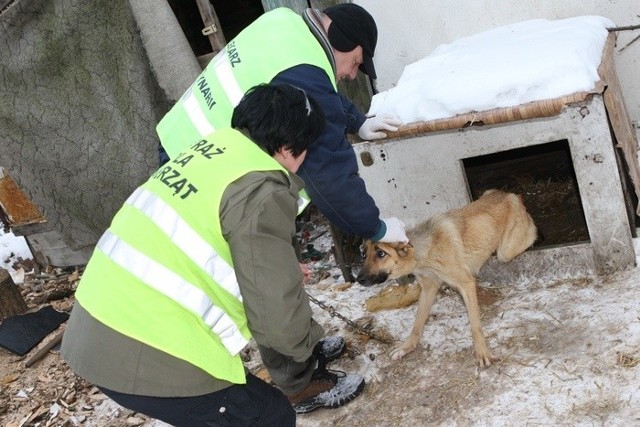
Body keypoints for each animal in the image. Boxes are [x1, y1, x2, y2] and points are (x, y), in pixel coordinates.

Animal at [358, 189, 536, 370]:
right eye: (364, 254)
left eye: (381, 253)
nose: (359, 279)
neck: (424, 251)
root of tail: (509, 195)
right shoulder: (428, 288)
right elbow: (417, 324)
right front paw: (406, 347)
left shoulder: (466, 283)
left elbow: (475, 327)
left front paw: (482, 353)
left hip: (506, 252)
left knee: (530, 234)